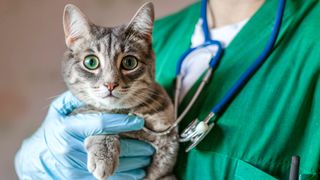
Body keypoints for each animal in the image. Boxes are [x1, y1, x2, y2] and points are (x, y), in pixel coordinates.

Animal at [61, 2, 179, 180]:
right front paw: (103, 154)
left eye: (129, 62)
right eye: (91, 62)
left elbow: (161, 169)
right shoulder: (80, 115)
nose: (110, 84)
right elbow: (98, 120)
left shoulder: (167, 141)